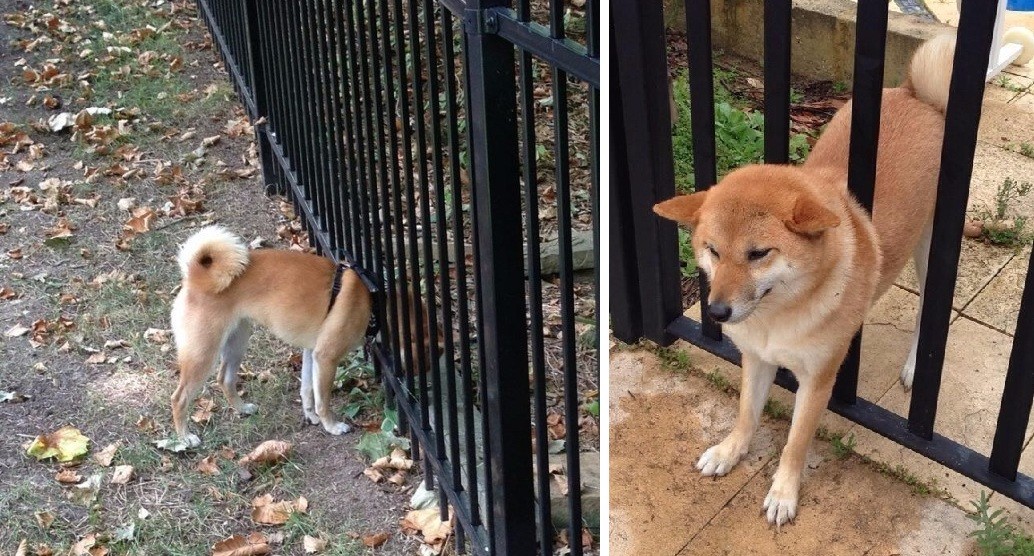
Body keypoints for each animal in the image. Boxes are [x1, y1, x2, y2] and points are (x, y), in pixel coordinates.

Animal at [657, 34, 955, 522]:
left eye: (758, 254)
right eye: (713, 251)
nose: (716, 311)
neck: (779, 316)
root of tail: (918, 96)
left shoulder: (816, 381)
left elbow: (795, 444)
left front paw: (783, 492)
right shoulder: (756, 358)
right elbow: (746, 414)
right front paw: (730, 451)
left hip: (931, 255)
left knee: (928, 316)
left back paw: (915, 365)